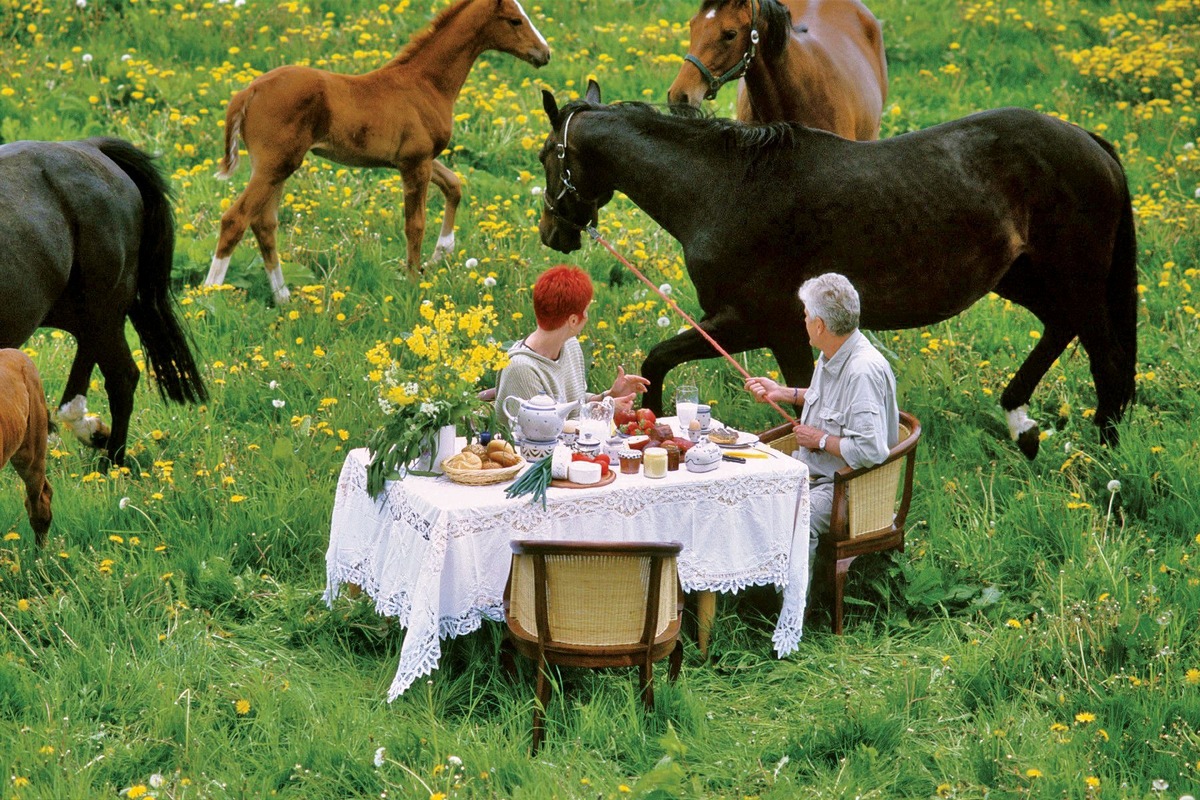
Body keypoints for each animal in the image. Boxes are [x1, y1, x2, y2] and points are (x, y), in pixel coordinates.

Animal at [0, 138, 208, 470]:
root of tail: (89, 146)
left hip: (103, 306)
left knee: (122, 376)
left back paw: (112, 461)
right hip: (77, 310)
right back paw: (93, 432)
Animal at [204, 0, 549, 304]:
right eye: (515, 20)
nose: (545, 53)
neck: (425, 83)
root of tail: (249, 91)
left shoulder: (417, 160)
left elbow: (454, 185)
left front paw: (440, 254)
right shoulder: (416, 163)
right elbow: (415, 224)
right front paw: (413, 282)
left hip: (278, 168)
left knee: (264, 225)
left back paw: (284, 298)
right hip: (273, 166)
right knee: (235, 220)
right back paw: (208, 297)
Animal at [540, 82, 1137, 460]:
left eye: (549, 156)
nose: (552, 234)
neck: (722, 189)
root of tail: (1090, 142)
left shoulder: (756, 323)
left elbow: (663, 359)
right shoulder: (763, 328)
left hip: (1074, 278)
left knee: (1105, 360)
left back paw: (1102, 458)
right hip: (1024, 278)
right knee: (1061, 328)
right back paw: (1023, 425)